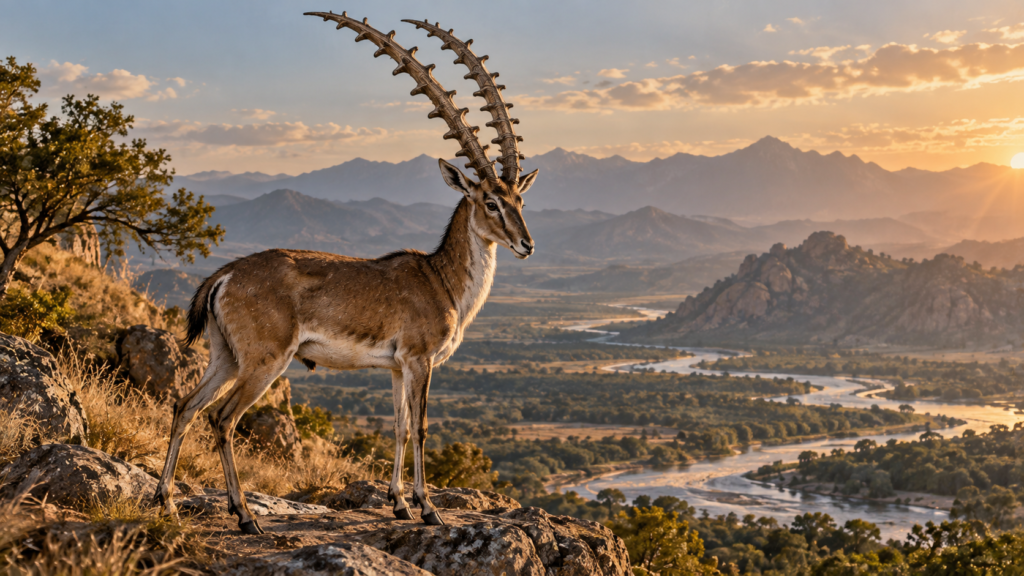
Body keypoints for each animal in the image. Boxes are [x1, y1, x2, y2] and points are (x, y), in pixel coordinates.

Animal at [151, 11, 538, 534]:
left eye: (520, 199)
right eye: (490, 202)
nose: (526, 244)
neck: (441, 281)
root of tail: (224, 277)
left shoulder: (395, 368)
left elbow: (398, 427)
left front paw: (399, 503)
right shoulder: (420, 361)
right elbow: (420, 427)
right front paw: (429, 509)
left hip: (225, 356)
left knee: (186, 406)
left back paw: (168, 502)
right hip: (264, 362)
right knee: (224, 419)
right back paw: (245, 516)